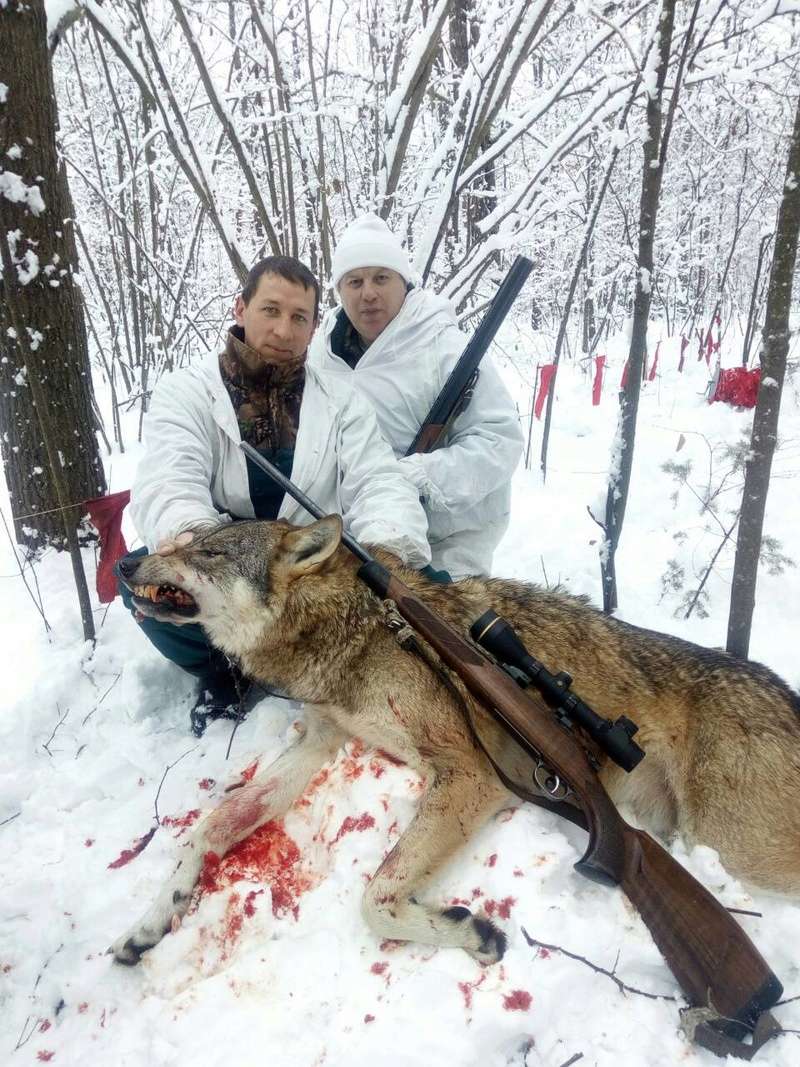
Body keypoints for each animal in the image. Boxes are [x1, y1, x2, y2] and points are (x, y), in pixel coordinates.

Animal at [111, 516, 800, 968]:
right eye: (183, 540)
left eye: (209, 552)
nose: (123, 564)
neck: (362, 626)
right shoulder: (318, 743)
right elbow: (208, 829)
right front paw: (147, 926)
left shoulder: (471, 774)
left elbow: (375, 896)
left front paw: (476, 936)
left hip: (735, 846)